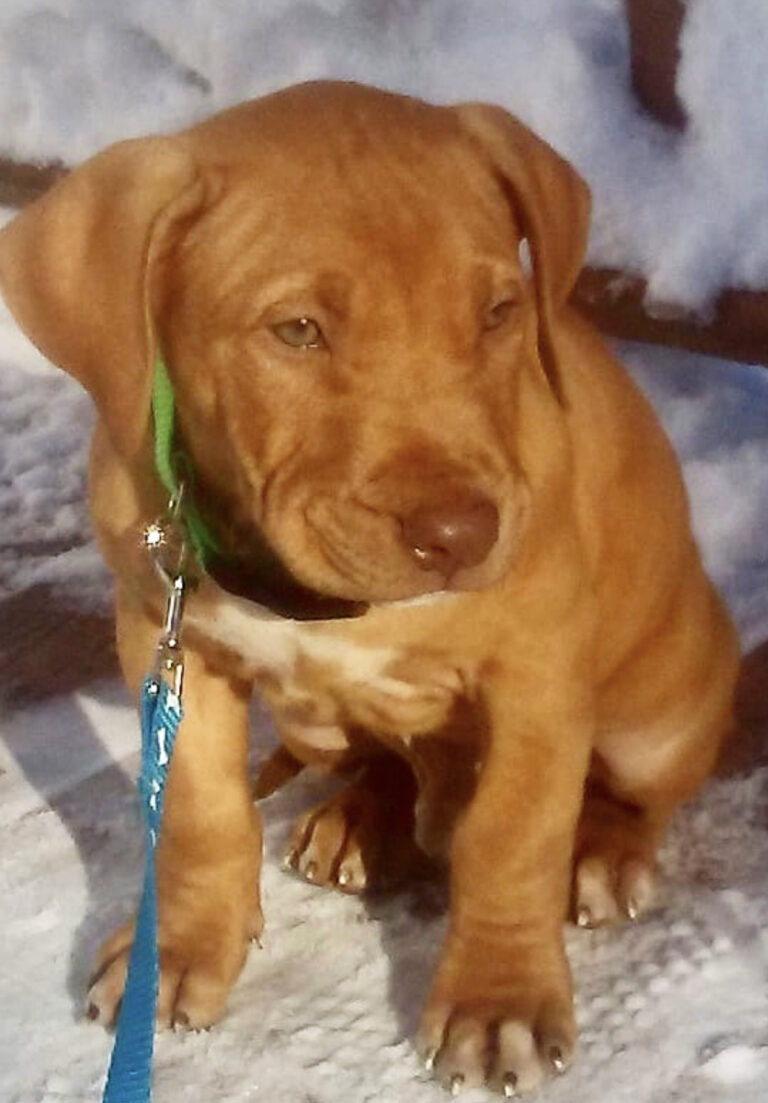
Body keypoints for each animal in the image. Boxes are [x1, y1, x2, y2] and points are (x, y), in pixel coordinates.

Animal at [0, 81, 737, 1089]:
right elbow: (198, 812)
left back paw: (603, 848)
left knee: (639, 791)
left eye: (499, 311)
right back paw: (360, 817)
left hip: (655, 709)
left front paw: (499, 998)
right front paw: (180, 948)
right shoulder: (166, 638)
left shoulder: (538, 672)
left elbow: (515, 834)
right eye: (297, 330)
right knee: (385, 759)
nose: (463, 535)